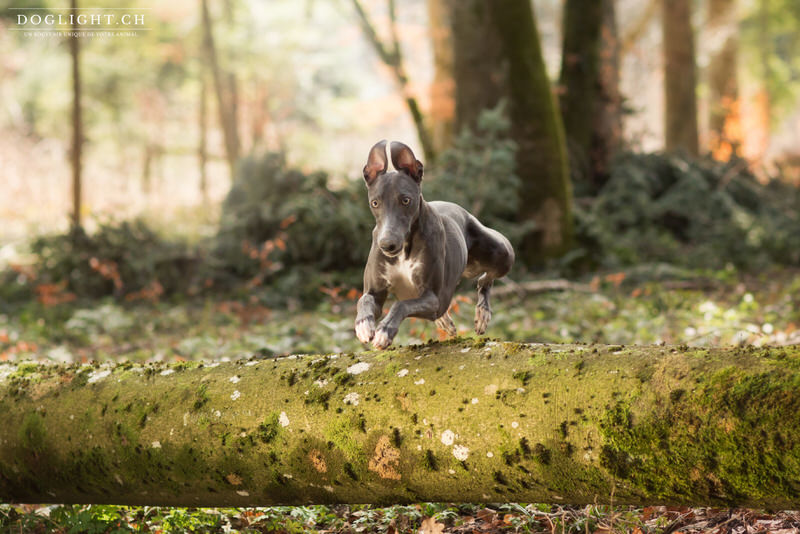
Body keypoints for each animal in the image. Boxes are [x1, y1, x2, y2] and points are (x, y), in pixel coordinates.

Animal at [354, 141, 516, 352]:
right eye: (375, 203)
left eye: (406, 200)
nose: (387, 245)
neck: (405, 250)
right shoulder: (376, 291)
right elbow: (364, 299)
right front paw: (363, 324)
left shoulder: (433, 298)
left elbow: (400, 305)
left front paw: (384, 332)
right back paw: (447, 321)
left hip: (502, 253)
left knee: (485, 280)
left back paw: (482, 313)